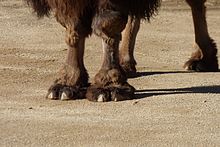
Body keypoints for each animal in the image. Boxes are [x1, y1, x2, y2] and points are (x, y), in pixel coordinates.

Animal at [25, 0, 218, 101]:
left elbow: (107, 24)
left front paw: (109, 87)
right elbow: (73, 25)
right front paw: (65, 85)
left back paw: (202, 59)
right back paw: (126, 64)